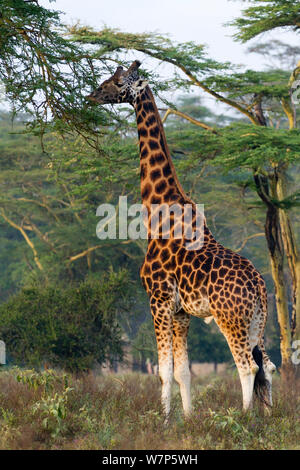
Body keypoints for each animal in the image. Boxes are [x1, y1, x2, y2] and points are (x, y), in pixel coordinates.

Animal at [86, 60, 274, 416]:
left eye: (117, 81)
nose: (92, 95)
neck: (159, 209)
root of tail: (259, 285)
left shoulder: (158, 300)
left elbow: (163, 370)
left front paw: (164, 420)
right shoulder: (182, 311)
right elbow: (183, 371)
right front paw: (188, 419)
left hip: (230, 319)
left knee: (248, 366)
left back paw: (246, 419)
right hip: (257, 321)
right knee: (268, 366)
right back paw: (271, 417)